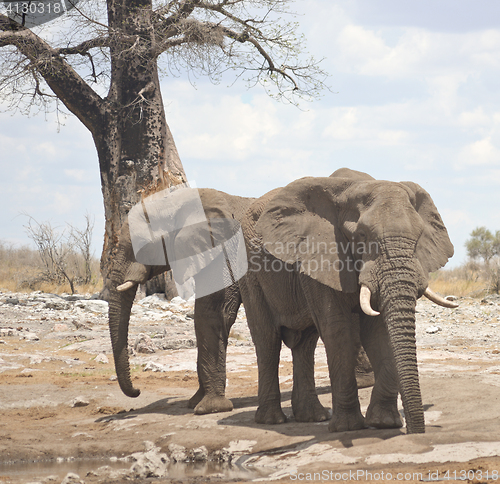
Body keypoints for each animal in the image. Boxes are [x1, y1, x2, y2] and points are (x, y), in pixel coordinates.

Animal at [238, 168, 458, 432]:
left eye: (419, 237)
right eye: (361, 235)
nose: (414, 432)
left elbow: (379, 331)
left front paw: (383, 423)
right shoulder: (323, 253)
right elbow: (338, 330)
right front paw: (348, 427)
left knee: (306, 343)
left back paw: (313, 417)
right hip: (250, 272)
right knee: (267, 340)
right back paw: (272, 420)